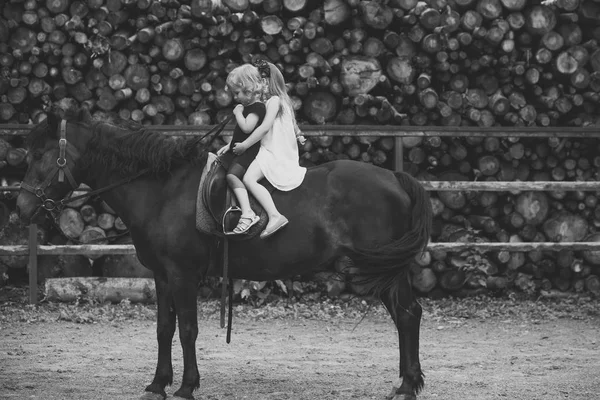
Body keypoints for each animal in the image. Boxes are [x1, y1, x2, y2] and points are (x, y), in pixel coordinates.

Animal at [16, 107, 434, 400]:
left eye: (39, 153)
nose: (22, 209)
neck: (163, 190)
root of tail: (394, 177)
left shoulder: (183, 274)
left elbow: (187, 329)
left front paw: (187, 386)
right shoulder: (161, 275)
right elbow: (164, 328)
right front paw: (158, 383)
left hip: (385, 270)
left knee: (407, 315)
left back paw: (407, 385)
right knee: (406, 316)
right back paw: (406, 381)